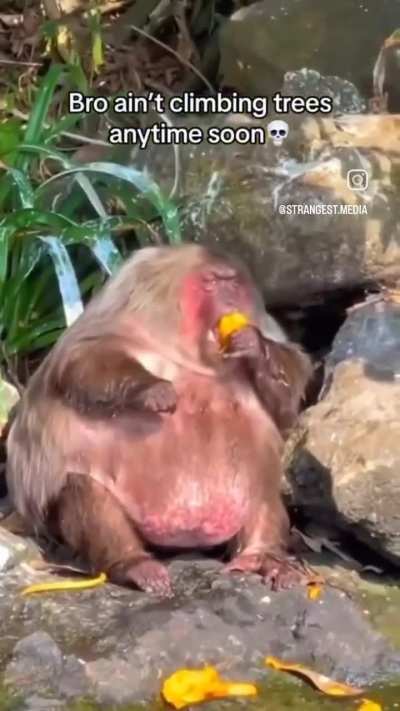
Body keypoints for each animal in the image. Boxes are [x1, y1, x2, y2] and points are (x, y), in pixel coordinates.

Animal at [6, 244, 312, 596]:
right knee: (83, 489)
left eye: (233, 283)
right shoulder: (128, 304)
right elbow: (83, 360)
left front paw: (254, 346)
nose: (231, 299)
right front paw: (152, 390)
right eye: (212, 283)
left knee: (261, 486)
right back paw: (132, 563)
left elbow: (285, 405)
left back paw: (263, 557)